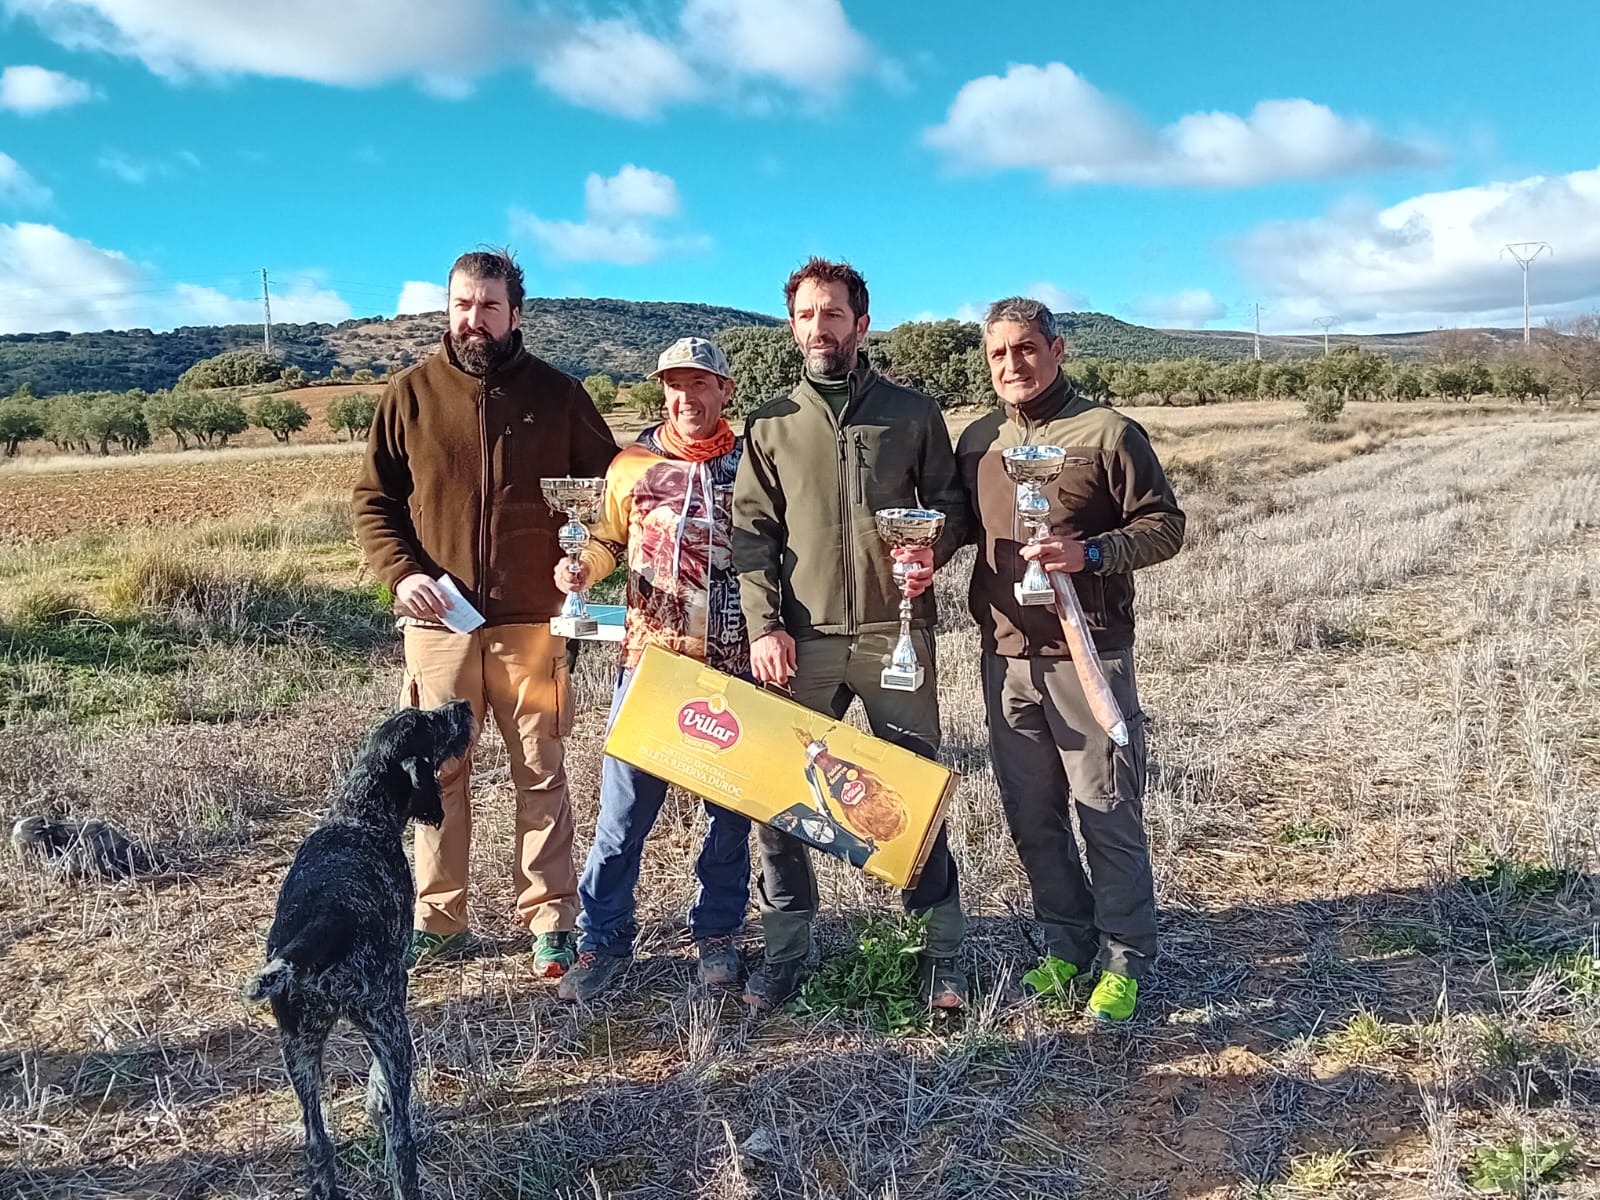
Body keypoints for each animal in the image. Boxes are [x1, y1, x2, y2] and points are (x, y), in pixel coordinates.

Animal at [240, 700, 470, 1200]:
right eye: (431, 723)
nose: (462, 706)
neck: (358, 815)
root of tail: (319, 928)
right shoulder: (394, 993)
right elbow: (382, 1085)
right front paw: (377, 1098)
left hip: (298, 1051)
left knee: (317, 1146)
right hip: (386, 1025)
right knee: (401, 1141)